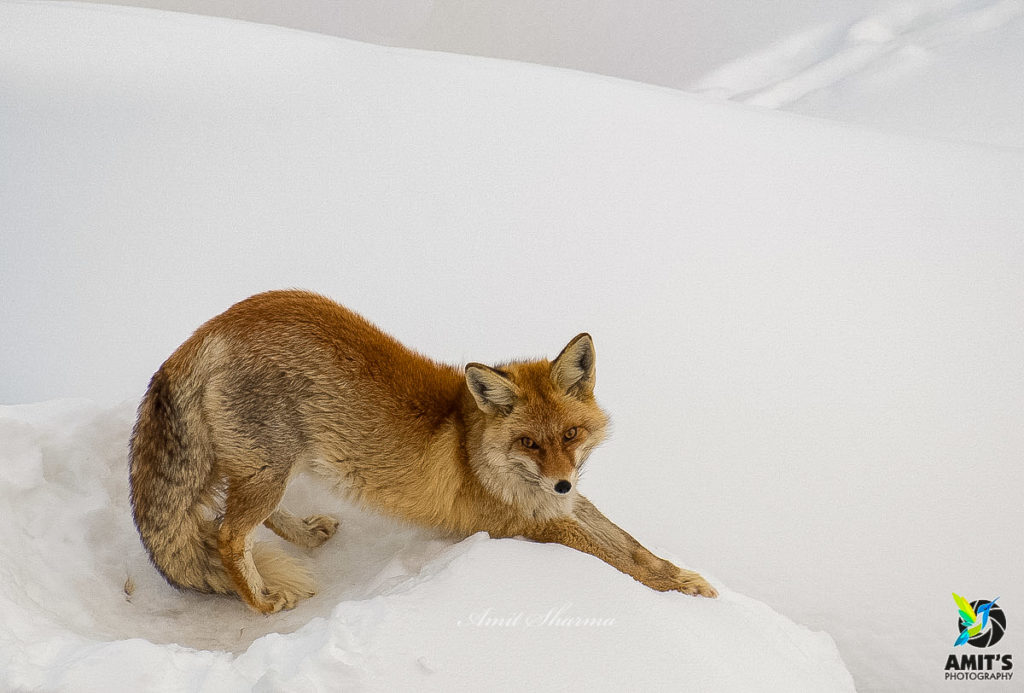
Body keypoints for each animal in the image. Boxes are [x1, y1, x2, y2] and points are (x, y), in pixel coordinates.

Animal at [129, 290, 717, 613]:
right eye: (529, 442)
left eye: (570, 435)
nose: (563, 481)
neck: (475, 449)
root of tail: (208, 330)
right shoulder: (530, 524)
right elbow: (616, 560)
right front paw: (674, 596)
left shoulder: (562, 506)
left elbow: (636, 550)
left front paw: (684, 580)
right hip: (269, 468)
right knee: (229, 535)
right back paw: (264, 602)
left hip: (277, 466)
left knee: (245, 523)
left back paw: (307, 536)